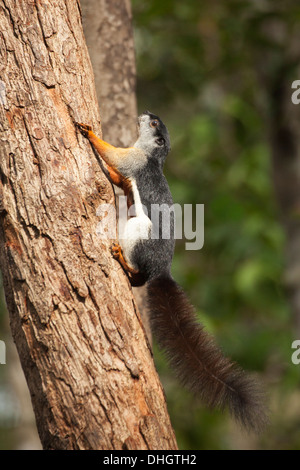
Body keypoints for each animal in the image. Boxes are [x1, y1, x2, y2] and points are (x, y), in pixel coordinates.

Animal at [77, 111, 268, 434]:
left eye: (154, 124)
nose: (146, 114)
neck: (154, 157)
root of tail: (161, 271)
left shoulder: (134, 159)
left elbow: (113, 156)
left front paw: (89, 132)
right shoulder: (131, 170)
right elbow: (118, 179)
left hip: (137, 231)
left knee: (137, 275)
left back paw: (123, 260)